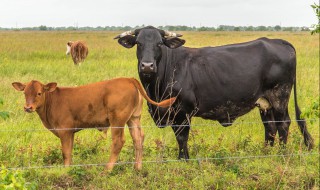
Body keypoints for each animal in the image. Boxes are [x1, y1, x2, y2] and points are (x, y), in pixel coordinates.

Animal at [12, 77, 176, 171]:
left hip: (118, 120)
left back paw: (107, 170)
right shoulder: (70, 132)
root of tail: (128, 79)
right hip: (134, 118)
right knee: (138, 138)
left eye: (39, 93)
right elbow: (70, 152)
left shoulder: (64, 130)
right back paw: (137, 168)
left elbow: (65, 153)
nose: (28, 107)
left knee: (118, 141)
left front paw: (65, 171)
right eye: (25, 93)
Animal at [114, 25, 312, 159]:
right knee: (270, 126)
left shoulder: (183, 112)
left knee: (283, 124)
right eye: (139, 43)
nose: (147, 66)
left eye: (159, 44)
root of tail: (276, 41)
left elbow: (182, 137)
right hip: (265, 102)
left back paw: (282, 154)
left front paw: (184, 160)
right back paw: (265, 153)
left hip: (280, 95)